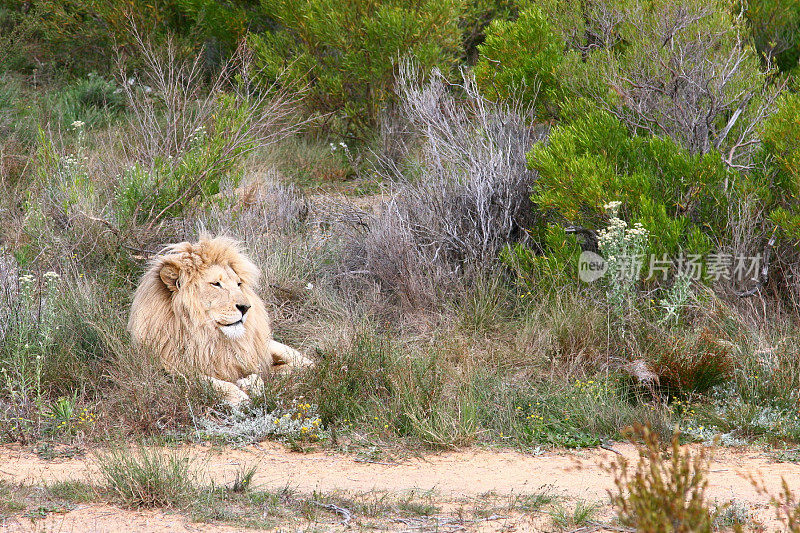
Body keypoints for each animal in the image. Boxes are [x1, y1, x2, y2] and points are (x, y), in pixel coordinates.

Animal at [128, 235, 312, 402]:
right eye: (216, 284)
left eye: (238, 284)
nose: (246, 307)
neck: (208, 338)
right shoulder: (165, 369)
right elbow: (205, 381)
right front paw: (239, 397)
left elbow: (257, 375)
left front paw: (251, 384)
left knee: (308, 365)